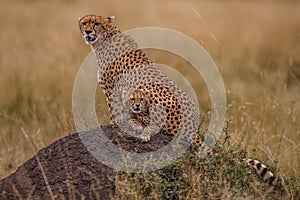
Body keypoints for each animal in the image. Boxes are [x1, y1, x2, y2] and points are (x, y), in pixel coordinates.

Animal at [78, 14, 284, 189]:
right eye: (84, 23)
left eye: (96, 24)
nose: (87, 32)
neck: (104, 39)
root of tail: (193, 124)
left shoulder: (113, 91)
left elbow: (115, 114)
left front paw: (115, 125)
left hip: (152, 91)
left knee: (156, 124)